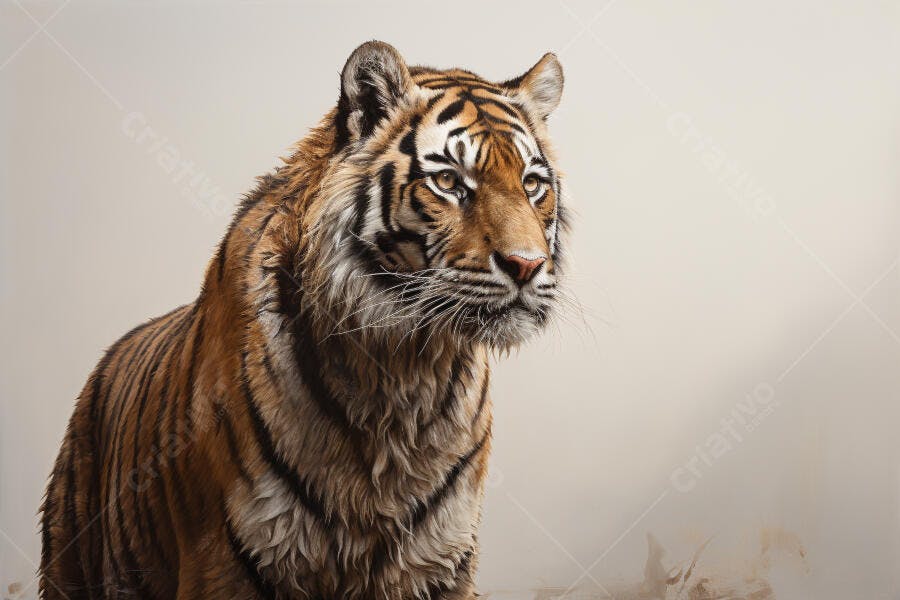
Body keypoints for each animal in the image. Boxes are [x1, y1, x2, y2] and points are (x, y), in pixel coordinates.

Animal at [39, 40, 567, 599]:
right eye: (448, 181)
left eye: (533, 184)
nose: (527, 265)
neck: (403, 369)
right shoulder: (227, 559)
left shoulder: (441, 559)